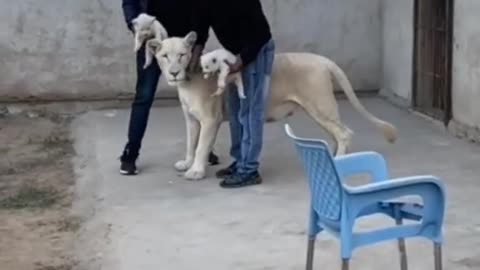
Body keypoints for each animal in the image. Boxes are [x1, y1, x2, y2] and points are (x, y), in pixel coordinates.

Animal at [143, 31, 398, 180]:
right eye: (165, 56)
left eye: (182, 55)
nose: (174, 73)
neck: (187, 81)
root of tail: (324, 60)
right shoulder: (191, 119)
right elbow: (190, 143)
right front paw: (186, 163)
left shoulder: (209, 119)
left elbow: (200, 146)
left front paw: (195, 171)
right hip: (318, 110)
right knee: (337, 134)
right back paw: (335, 158)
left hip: (320, 106)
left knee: (345, 133)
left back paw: (337, 162)